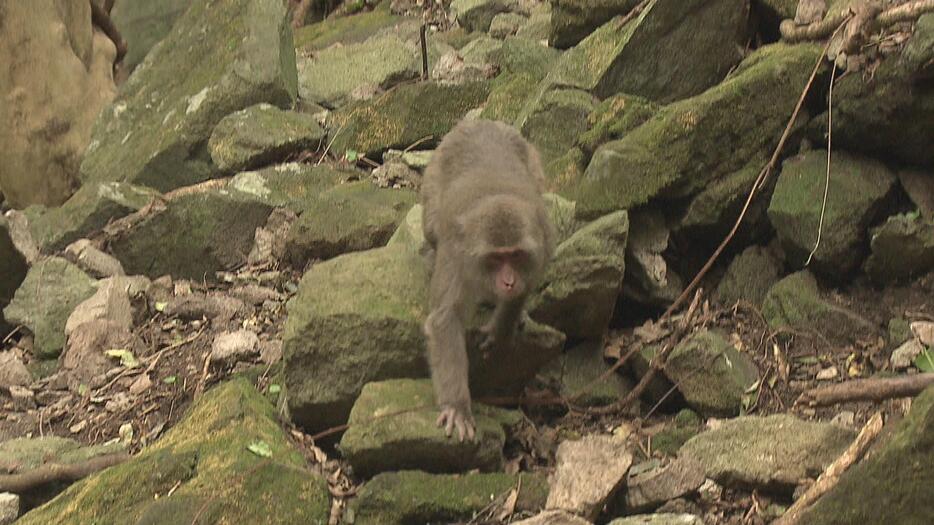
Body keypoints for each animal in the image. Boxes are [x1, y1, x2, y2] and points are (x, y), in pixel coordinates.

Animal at [418, 117, 556, 438]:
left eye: (515, 256)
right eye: (495, 258)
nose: (508, 281)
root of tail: (479, 122)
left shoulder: (542, 244)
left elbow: (524, 289)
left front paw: (501, 329)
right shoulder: (456, 258)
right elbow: (445, 319)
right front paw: (458, 406)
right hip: (433, 175)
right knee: (431, 227)